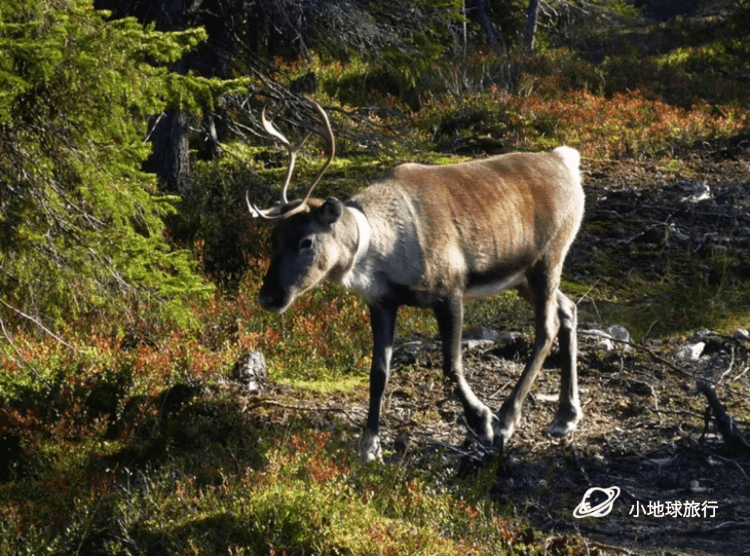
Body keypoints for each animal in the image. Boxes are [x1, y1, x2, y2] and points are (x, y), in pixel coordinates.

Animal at [248, 100, 585, 462]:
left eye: (306, 241)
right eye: (274, 238)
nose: (268, 296)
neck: (384, 252)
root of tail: (566, 161)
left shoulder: (450, 290)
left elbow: (451, 365)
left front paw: (482, 421)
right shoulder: (382, 302)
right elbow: (378, 373)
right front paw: (370, 444)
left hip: (548, 259)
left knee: (546, 328)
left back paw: (508, 418)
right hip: (522, 278)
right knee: (568, 309)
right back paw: (565, 417)